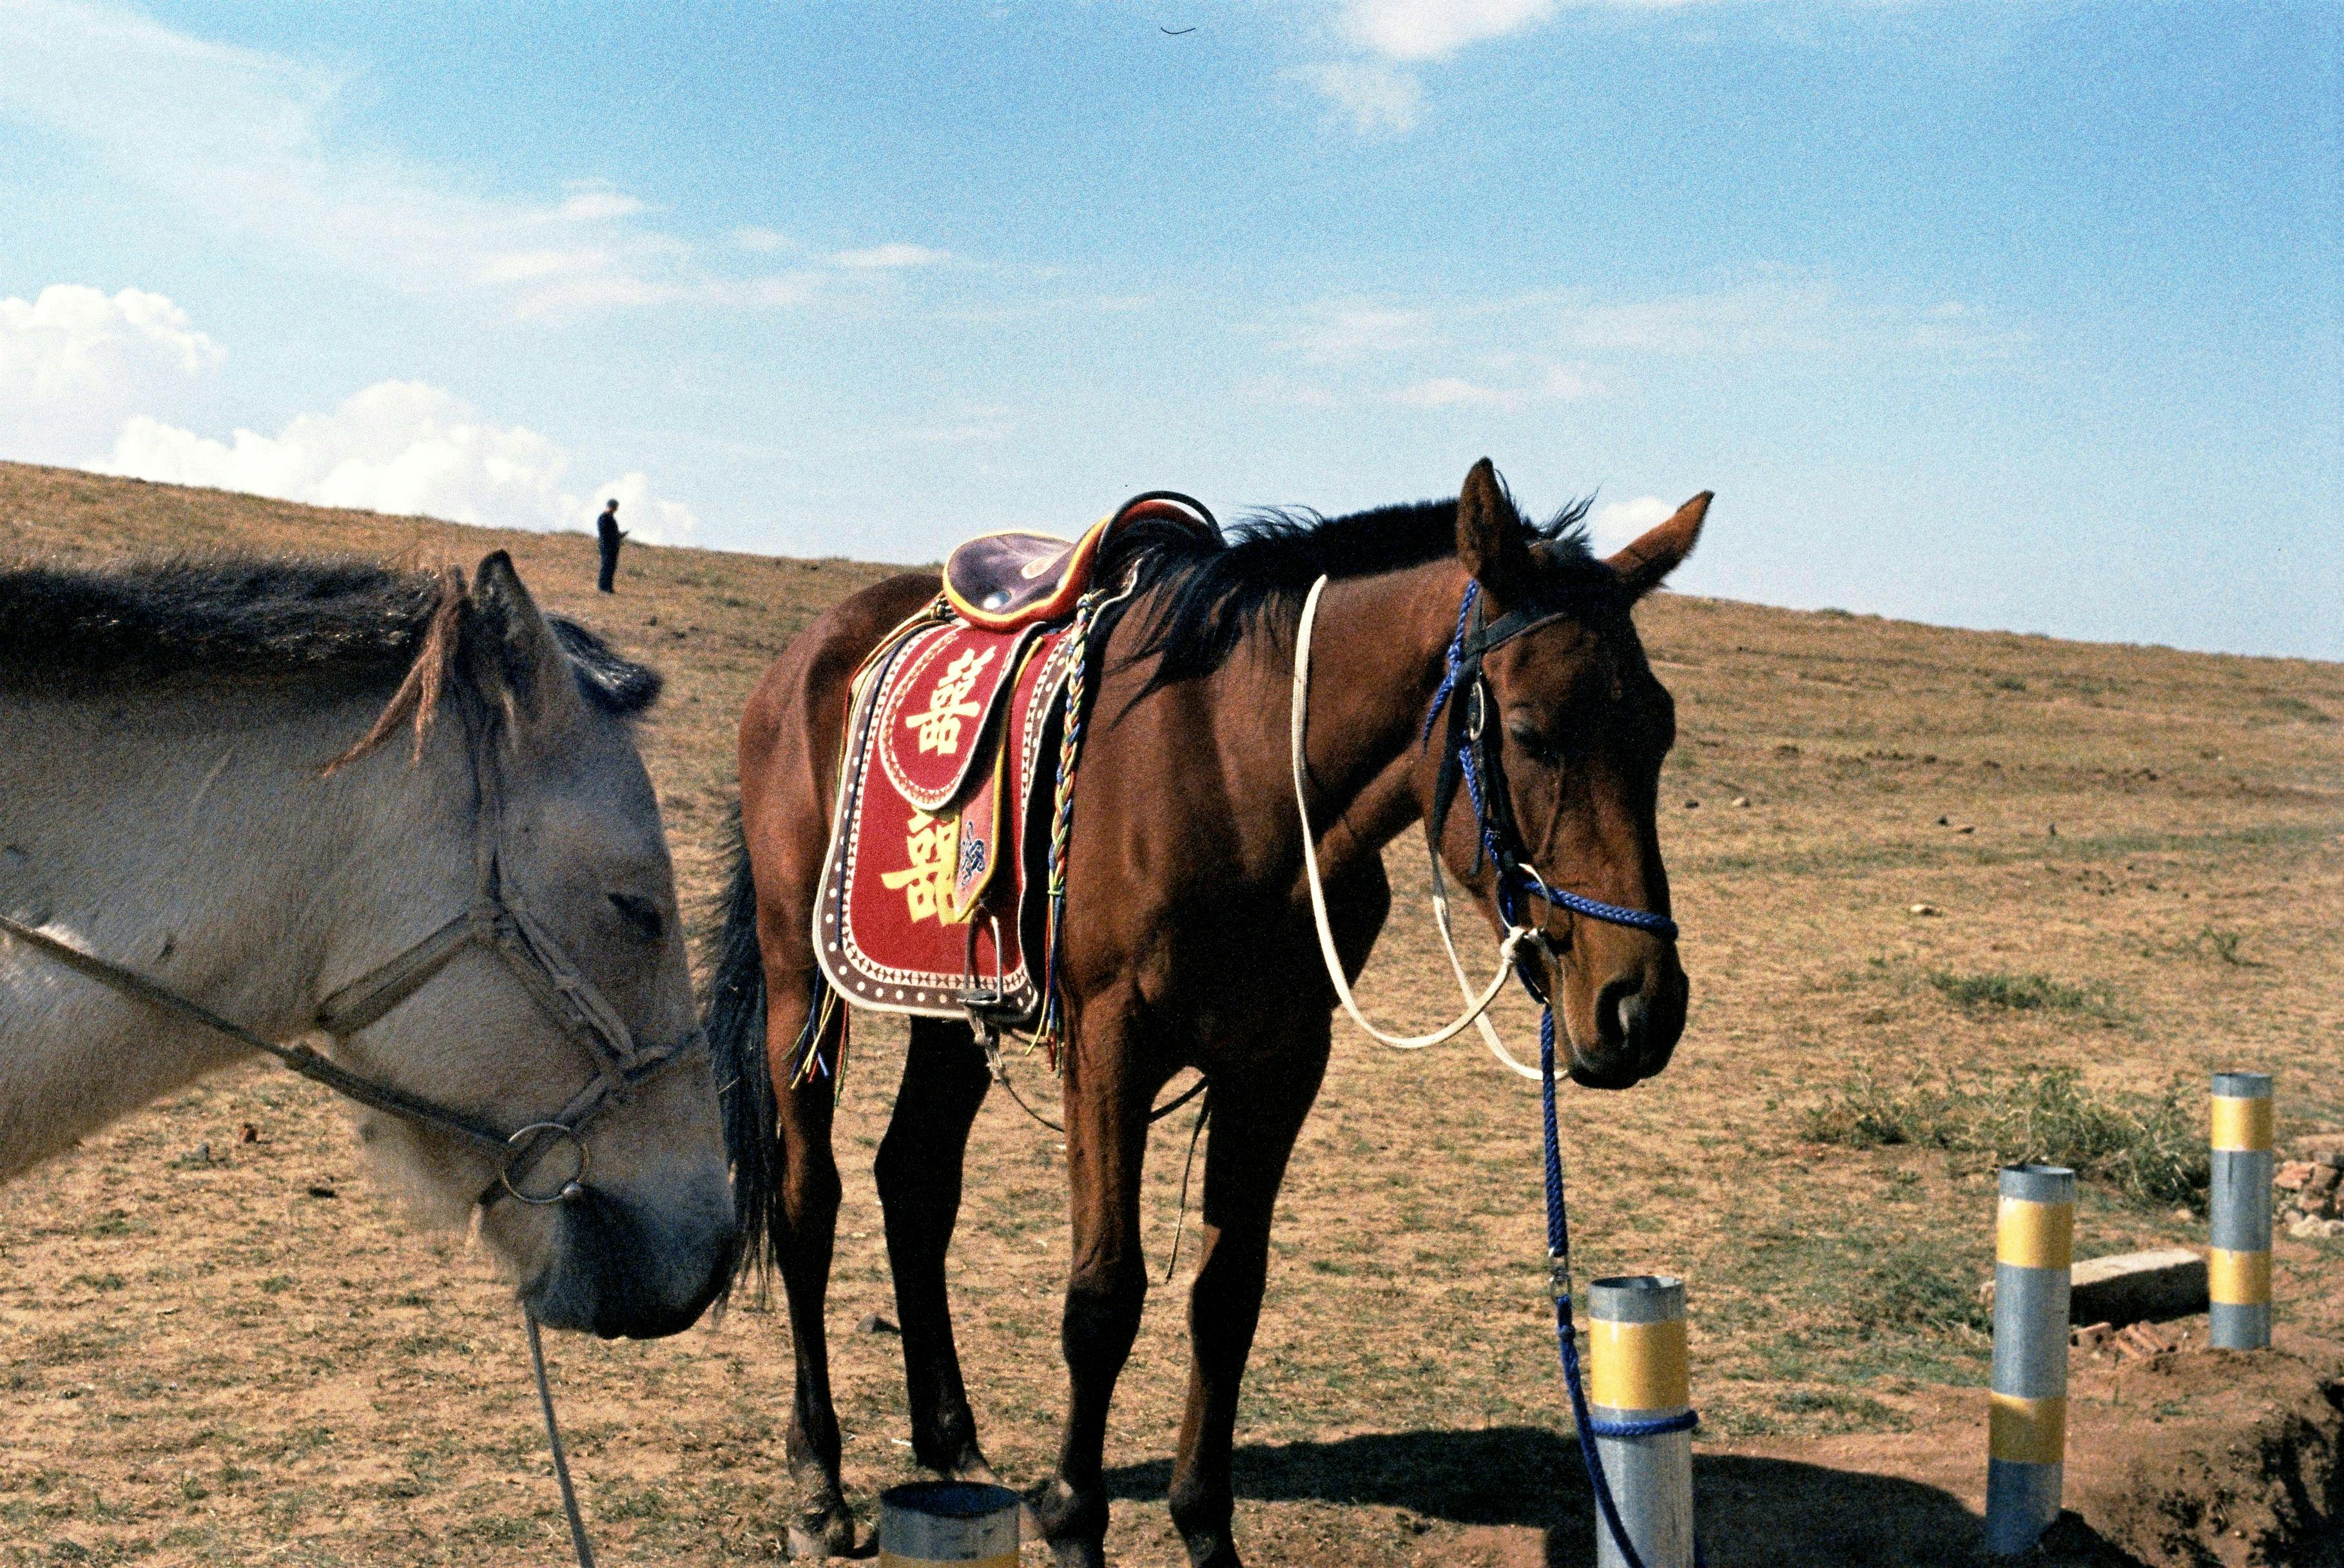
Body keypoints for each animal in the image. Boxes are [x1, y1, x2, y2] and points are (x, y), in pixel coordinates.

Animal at [712, 459, 1706, 1556]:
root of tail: (804, 658)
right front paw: (1074, 1521)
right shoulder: (1108, 1046)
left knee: (916, 1179)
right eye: (1528, 731)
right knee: (808, 1203)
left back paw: (950, 1443)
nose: (1640, 1006)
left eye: (1660, 727)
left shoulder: (1279, 1060)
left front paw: (1202, 1524)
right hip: (798, 980)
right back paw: (818, 1487)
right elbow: (1103, 1298)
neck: (1239, 774)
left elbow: (1227, 1297)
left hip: (952, 1003)